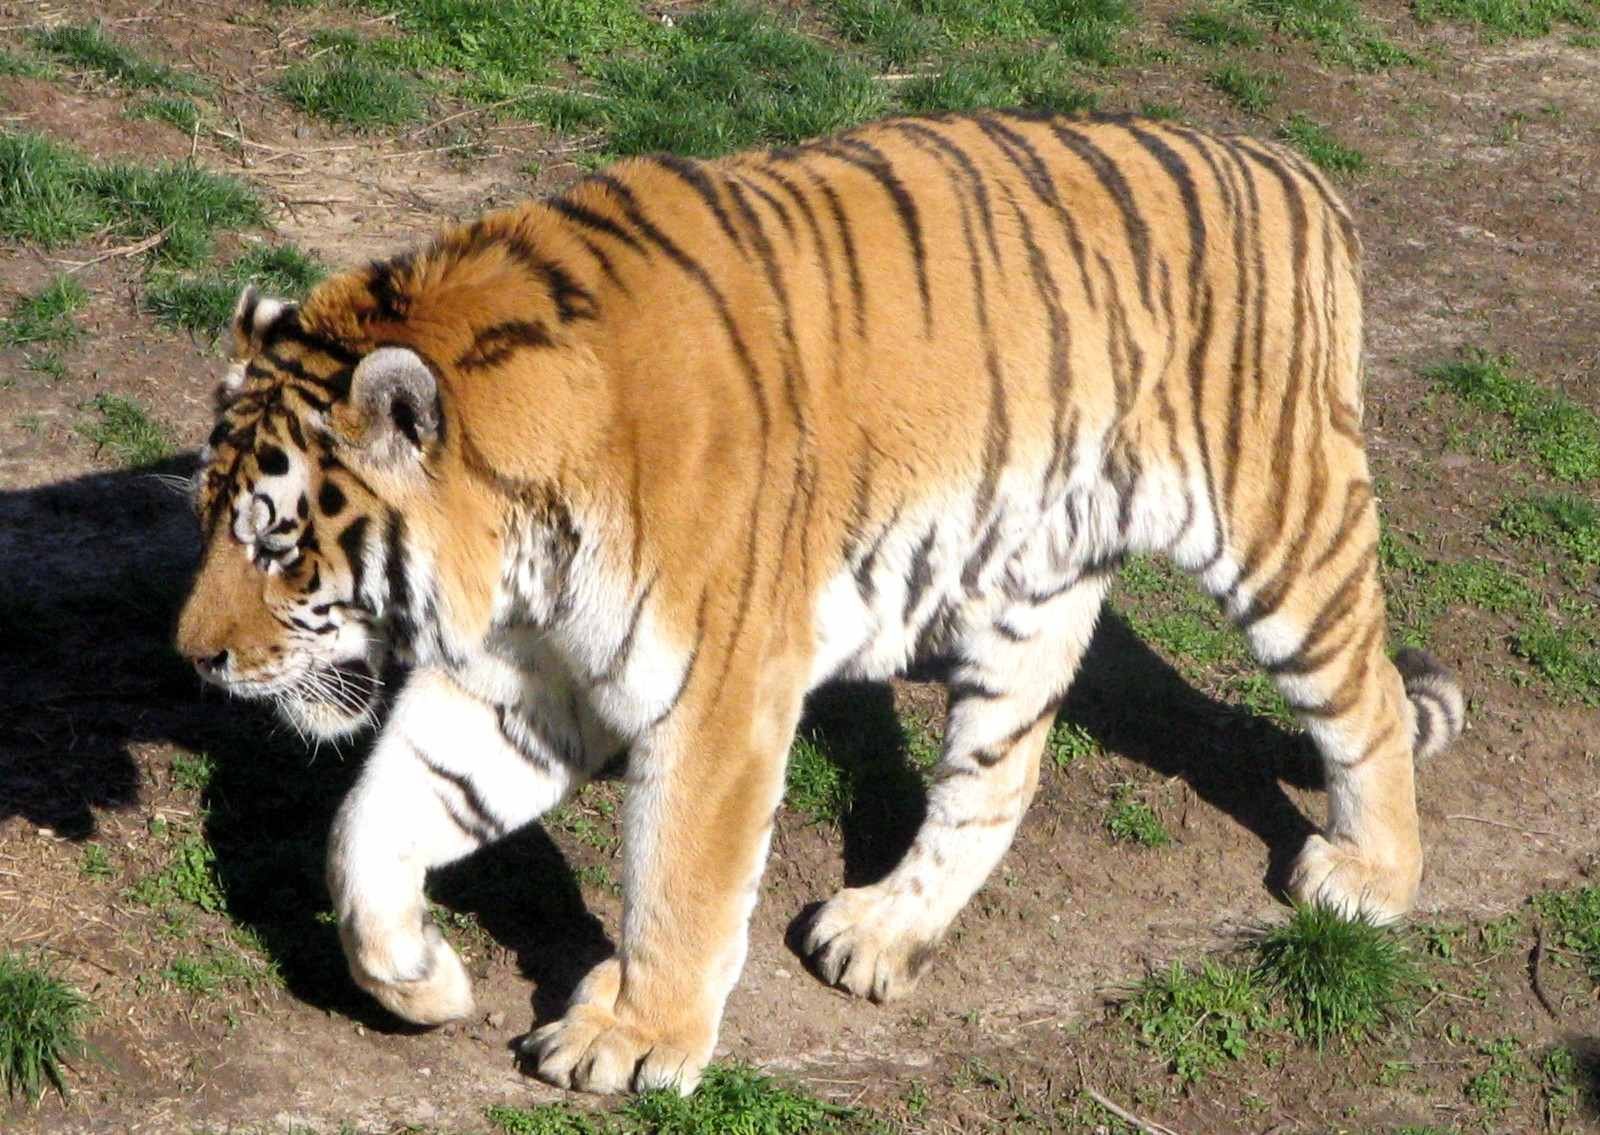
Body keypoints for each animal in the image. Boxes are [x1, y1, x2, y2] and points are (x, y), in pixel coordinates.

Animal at [174, 109, 1465, 1096]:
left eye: (278, 544)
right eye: (208, 518)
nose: (195, 659)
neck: (514, 544)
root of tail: (1295, 171)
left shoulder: (716, 692)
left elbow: (681, 880)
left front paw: (631, 1039)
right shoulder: (519, 681)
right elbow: (370, 826)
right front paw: (418, 978)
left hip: (1283, 526)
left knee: (1368, 701)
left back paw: (1369, 879)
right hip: (1030, 589)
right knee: (996, 776)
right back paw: (882, 930)